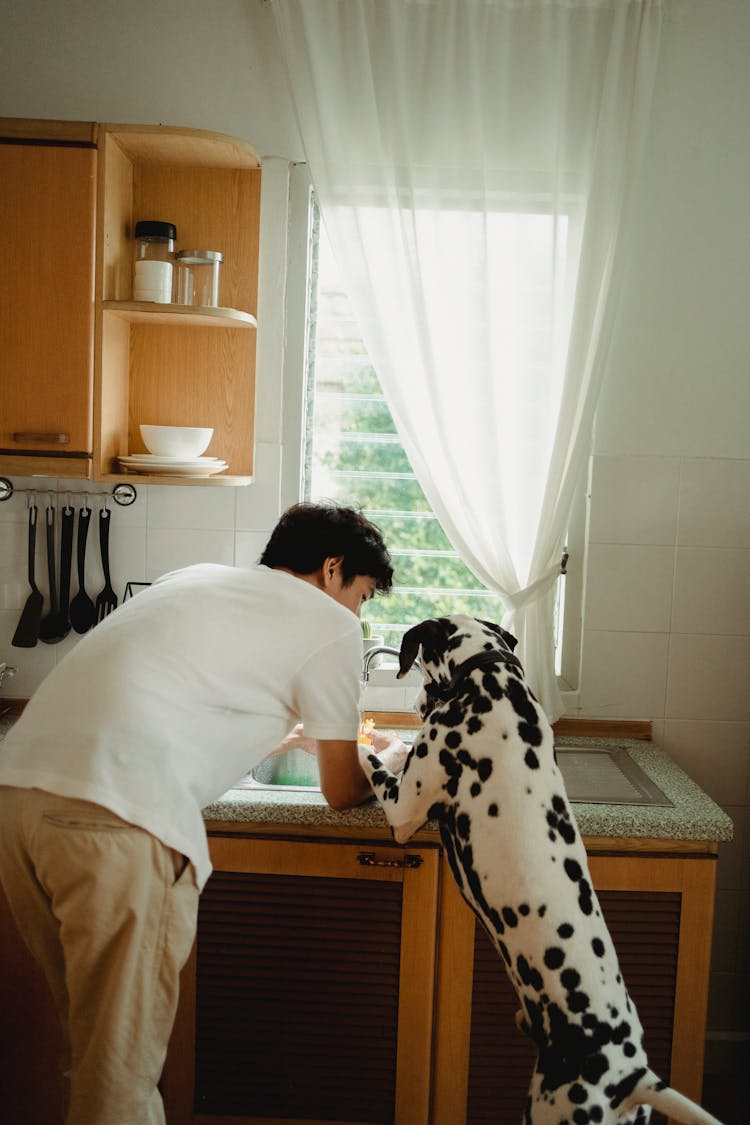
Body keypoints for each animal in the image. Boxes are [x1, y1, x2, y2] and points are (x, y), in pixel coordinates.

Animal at [359, 616, 724, 1125]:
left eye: (425, 682)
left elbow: (369, 759)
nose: (413, 708)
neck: (489, 680)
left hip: (550, 1108)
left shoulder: (403, 810)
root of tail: (632, 1078)